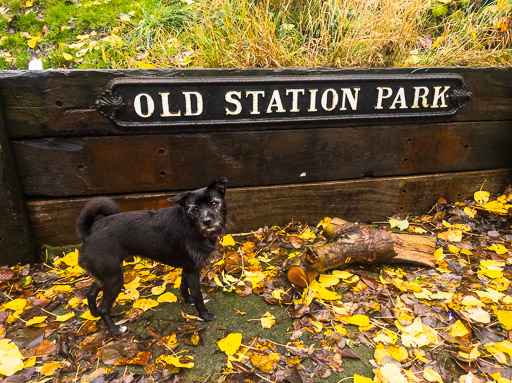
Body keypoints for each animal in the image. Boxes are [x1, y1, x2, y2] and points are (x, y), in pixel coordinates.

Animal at [76, 179, 228, 336]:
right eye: (195, 209)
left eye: (214, 203)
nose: (207, 221)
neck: (192, 226)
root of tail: (88, 232)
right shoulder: (192, 271)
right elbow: (198, 297)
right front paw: (205, 315)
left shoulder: (188, 268)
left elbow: (183, 285)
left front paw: (187, 299)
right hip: (114, 278)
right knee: (104, 307)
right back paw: (115, 329)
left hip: (106, 275)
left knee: (90, 292)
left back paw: (94, 314)